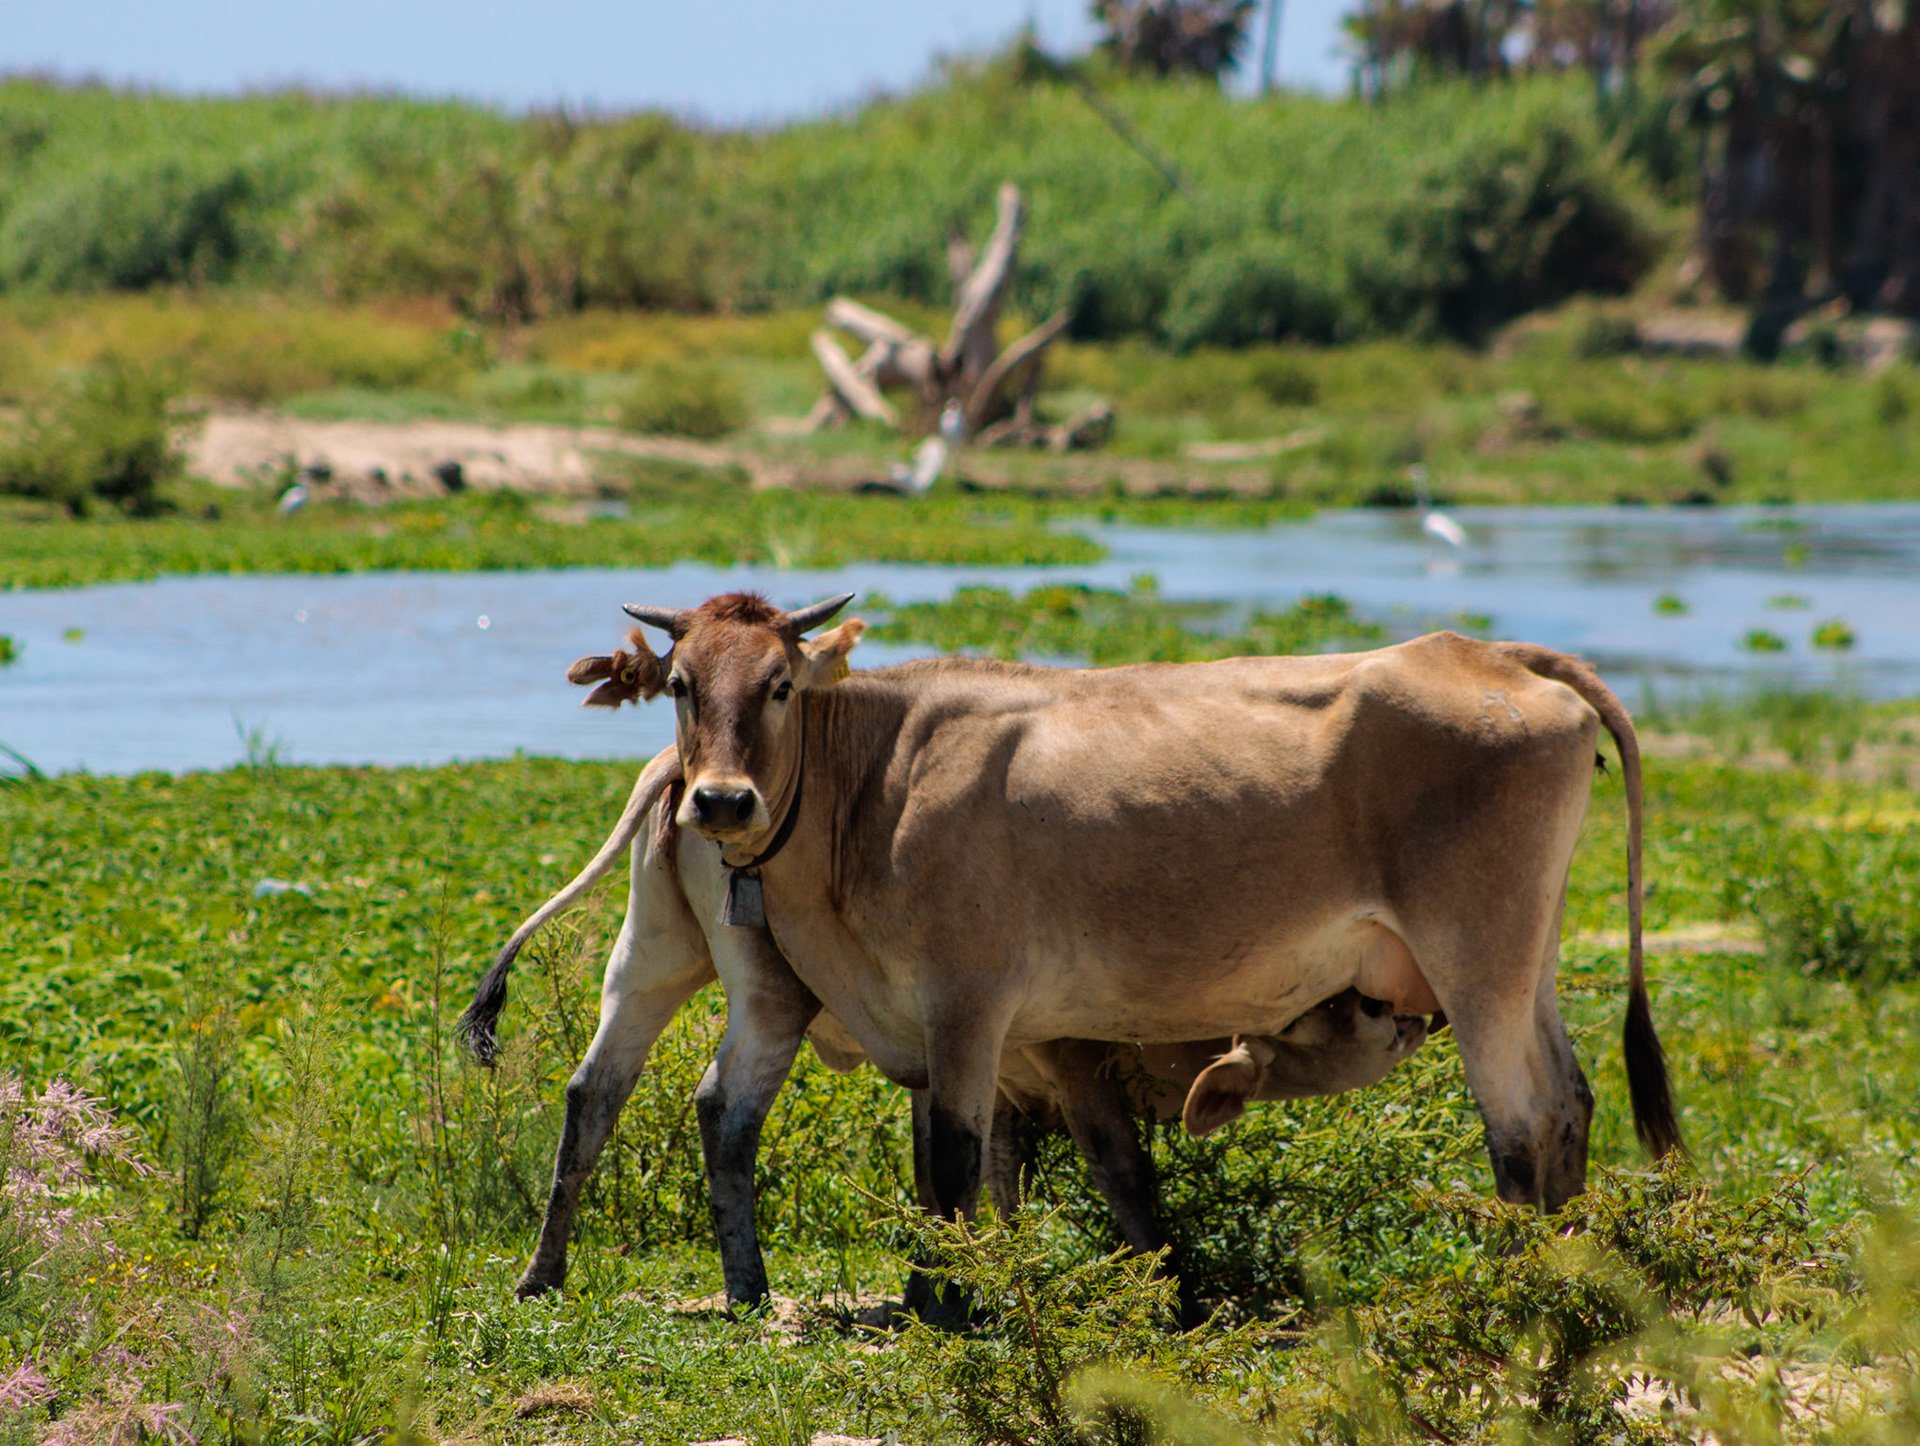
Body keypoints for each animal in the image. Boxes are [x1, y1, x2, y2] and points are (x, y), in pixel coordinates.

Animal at [465, 735, 1428, 1313]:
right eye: (1344, 1005)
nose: (1412, 1012)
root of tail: (688, 766)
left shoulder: (977, 1064)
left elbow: (976, 1173)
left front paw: (982, 1275)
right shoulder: (1058, 1058)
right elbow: (1117, 1171)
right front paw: (1173, 1290)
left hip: (651, 961)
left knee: (593, 1092)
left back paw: (543, 1274)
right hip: (771, 993)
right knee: (721, 1110)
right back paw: (748, 1287)